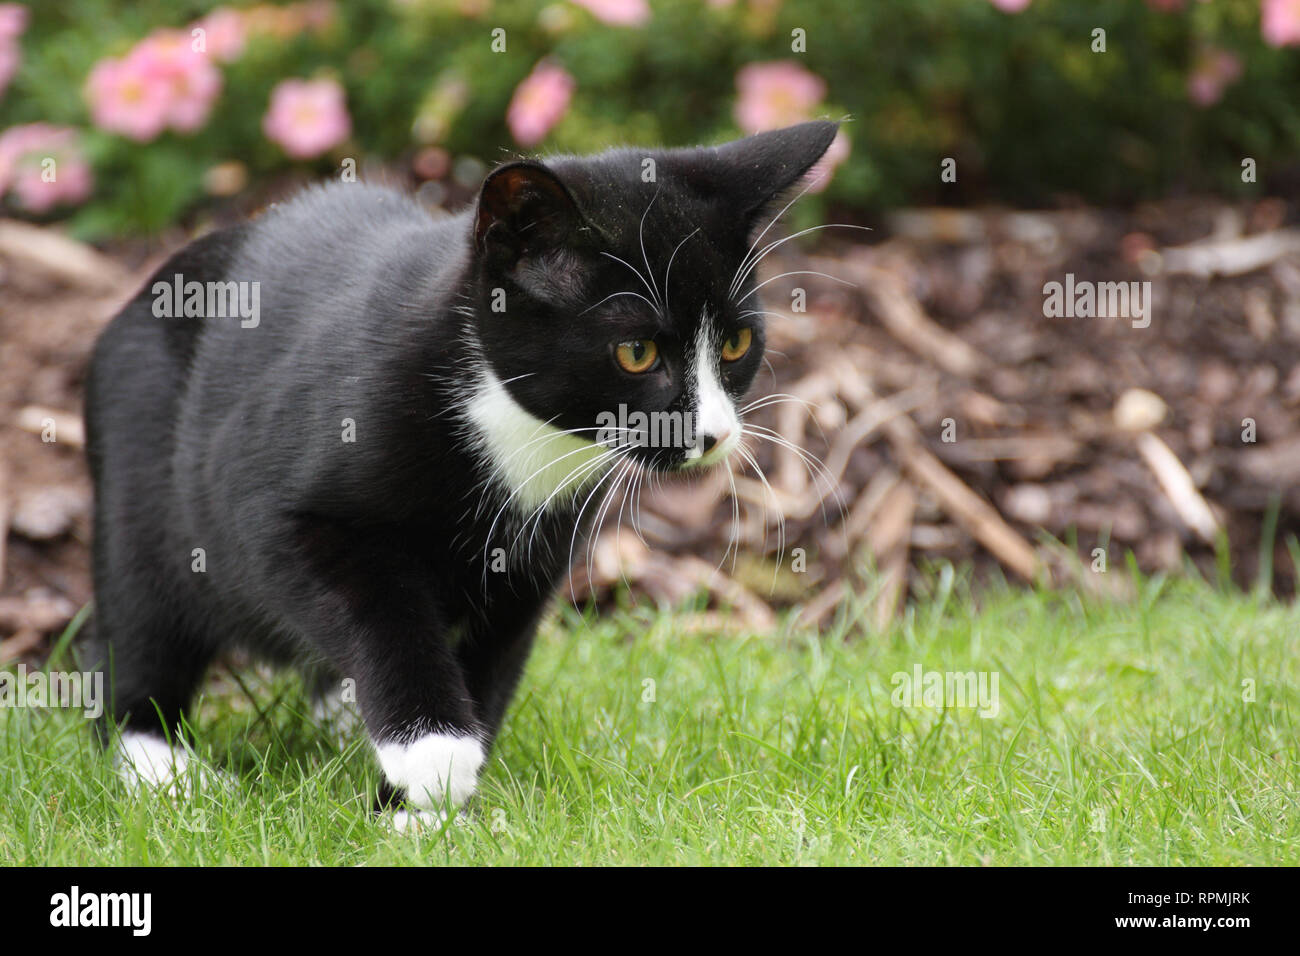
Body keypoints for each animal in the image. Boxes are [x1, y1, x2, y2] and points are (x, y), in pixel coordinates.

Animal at [81, 119, 837, 822]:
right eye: (636, 353)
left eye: (736, 342)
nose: (714, 434)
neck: (519, 436)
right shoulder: (268, 502)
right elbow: (374, 602)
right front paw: (432, 755)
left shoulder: (531, 568)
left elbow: (493, 661)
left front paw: (424, 808)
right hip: (141, 488)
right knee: (137, 635)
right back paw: (164, 765)